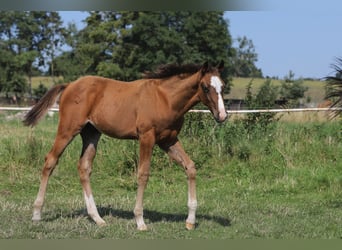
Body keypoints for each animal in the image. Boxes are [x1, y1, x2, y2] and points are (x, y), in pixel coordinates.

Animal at [23, 61, 227, 230]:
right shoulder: (147, 137)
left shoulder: (168, 140)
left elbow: (190, 167)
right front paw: (140, 221)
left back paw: (97, 218)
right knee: (50, 160)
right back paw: (37, 214)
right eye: (205, 87)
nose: (222, 116)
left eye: (222, 86)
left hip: (91, 133)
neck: (166, 98)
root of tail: (70, 85)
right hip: (68, 129)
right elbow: (143, 174)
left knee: (84, 167)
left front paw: (190, 221)